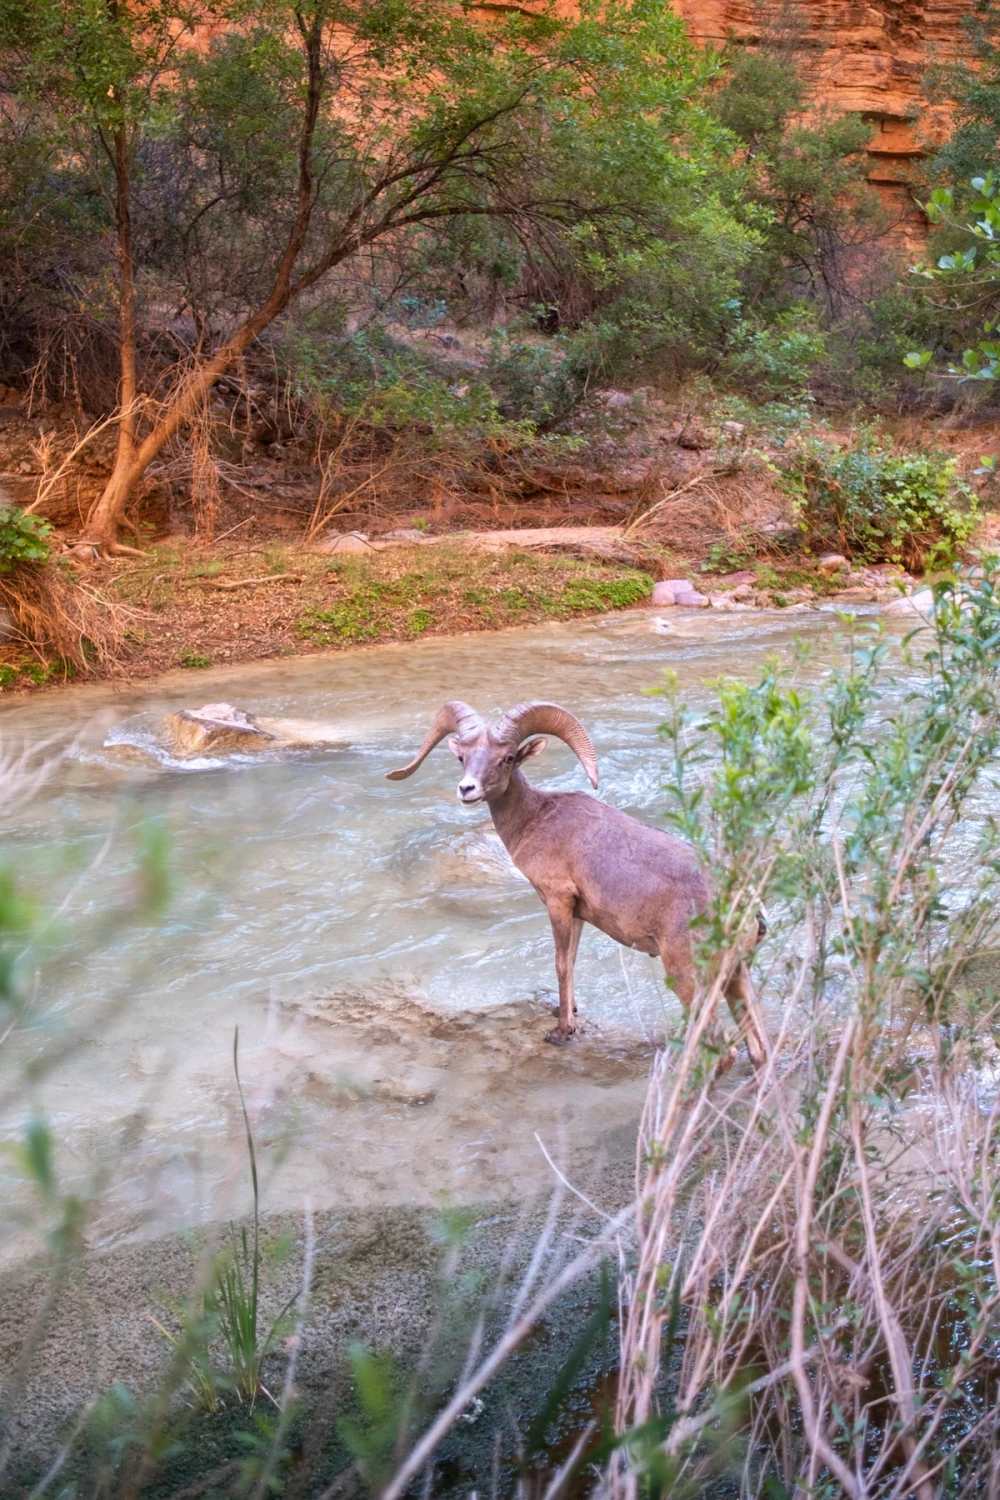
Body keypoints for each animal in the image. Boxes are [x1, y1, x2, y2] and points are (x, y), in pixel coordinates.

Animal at [387, 700, 766, 1060]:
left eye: (507, 758)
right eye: (462, 757)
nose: (467, 789)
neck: (536, 819)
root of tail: (747, 911)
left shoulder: (558, 901)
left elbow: (560, 963)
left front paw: (561, 1032)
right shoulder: (579, 914)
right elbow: (571, 961)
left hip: (690, 977)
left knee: (724, 1050)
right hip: (737, 977)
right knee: (759, 1049)